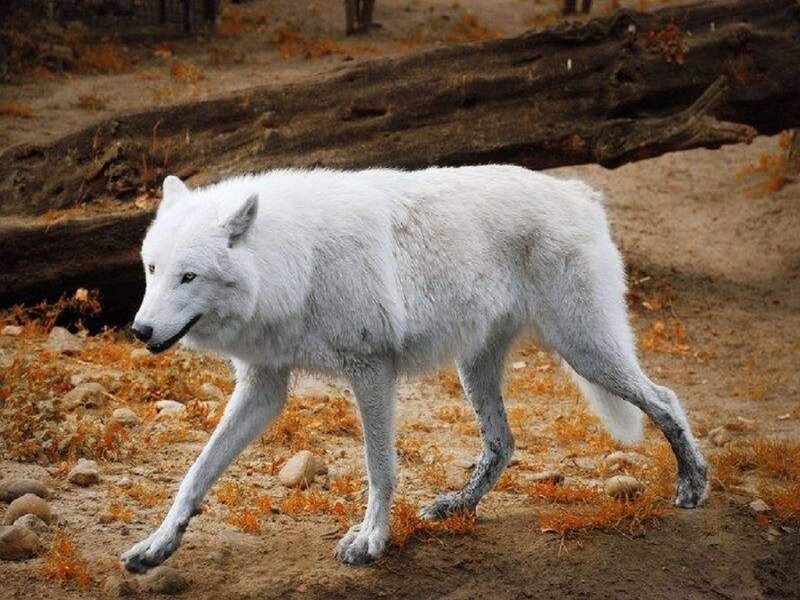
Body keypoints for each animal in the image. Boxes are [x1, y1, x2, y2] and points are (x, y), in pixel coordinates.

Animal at [121, 166, 709, 572]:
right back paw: (456, 506)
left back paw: (693, 486)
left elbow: (380, 467)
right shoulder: (264, 387)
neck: (296, 263)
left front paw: (370, 541)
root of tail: (580, 193)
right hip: (479, 368)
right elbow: (195, 474)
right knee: (503, 443)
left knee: (665, 397)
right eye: (152, 269)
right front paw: (158, 545)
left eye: (189, 276)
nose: (140, 331)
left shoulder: (371, 371)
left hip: (585, 350)